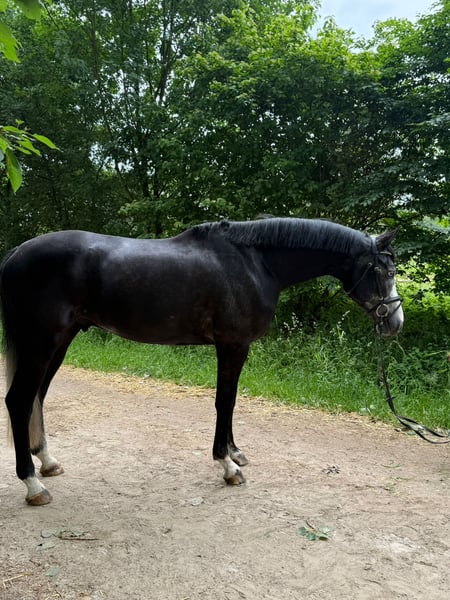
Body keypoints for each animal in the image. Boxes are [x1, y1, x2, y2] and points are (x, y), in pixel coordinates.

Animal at [0, 218, 403, 506]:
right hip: (41, 343)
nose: (394, 323)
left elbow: (232, 401)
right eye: (384, 271)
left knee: (37, 398)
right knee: (19, 401)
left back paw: (48, 463)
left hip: (59, 342)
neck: (255, 263)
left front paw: (236, 453)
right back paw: (33, 485)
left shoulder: (235, 347)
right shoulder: (232, 345)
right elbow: (225, 401)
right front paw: (227, 465)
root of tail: (16, 254)